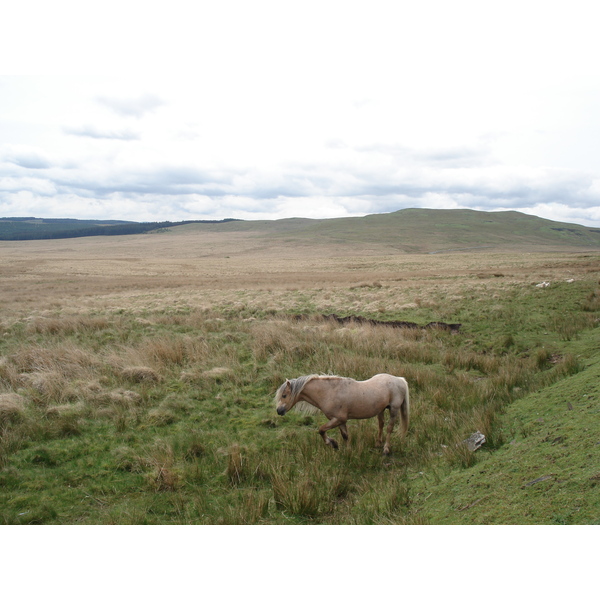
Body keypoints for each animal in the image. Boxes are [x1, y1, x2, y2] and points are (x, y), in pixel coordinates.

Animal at [276, 372, 408, 452]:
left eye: (284, 395)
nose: (279, 411)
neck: (329, 392)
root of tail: (399, 380)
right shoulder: (340, 420)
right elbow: (345, 435)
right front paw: (347, 451)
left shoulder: (338, 419)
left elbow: (321, 430)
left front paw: (332, 443)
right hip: (381, 410)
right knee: (381, 425)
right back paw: (378, 443)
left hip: (394, 409)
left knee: (389, 428)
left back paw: (386, 449)